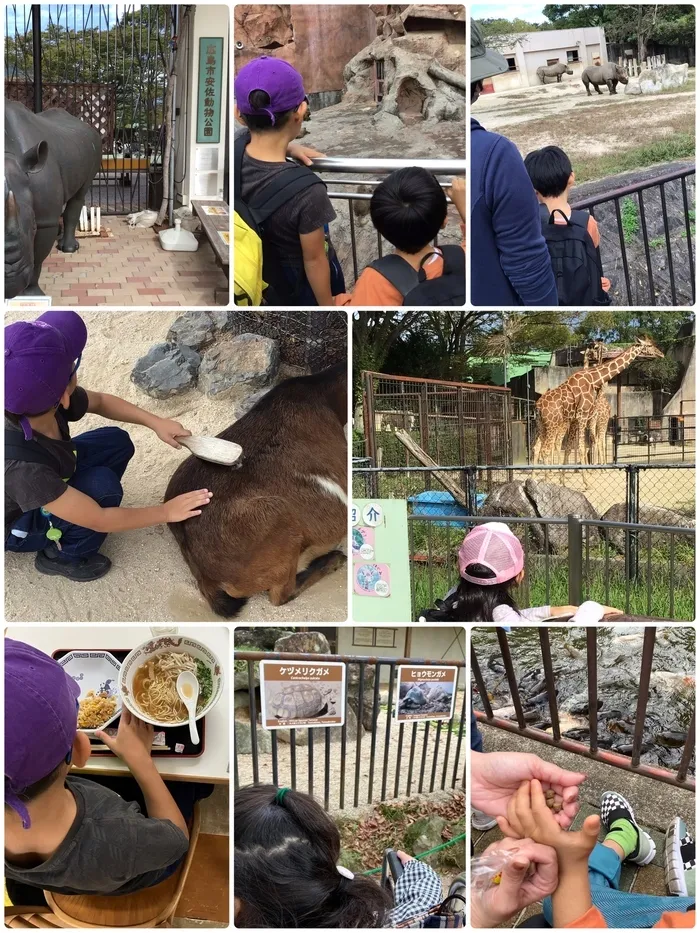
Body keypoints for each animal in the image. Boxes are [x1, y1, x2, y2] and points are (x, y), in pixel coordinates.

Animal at [536, 334, 660, 466]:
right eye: (649, 345)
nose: (661, 354)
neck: (593, 380)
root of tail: (538, 406)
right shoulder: (587, 417)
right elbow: (587, 445)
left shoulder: (581, 420)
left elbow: (578, 446)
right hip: (555, 424)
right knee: (548, 448)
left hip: (543, 425)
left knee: (539, 447)